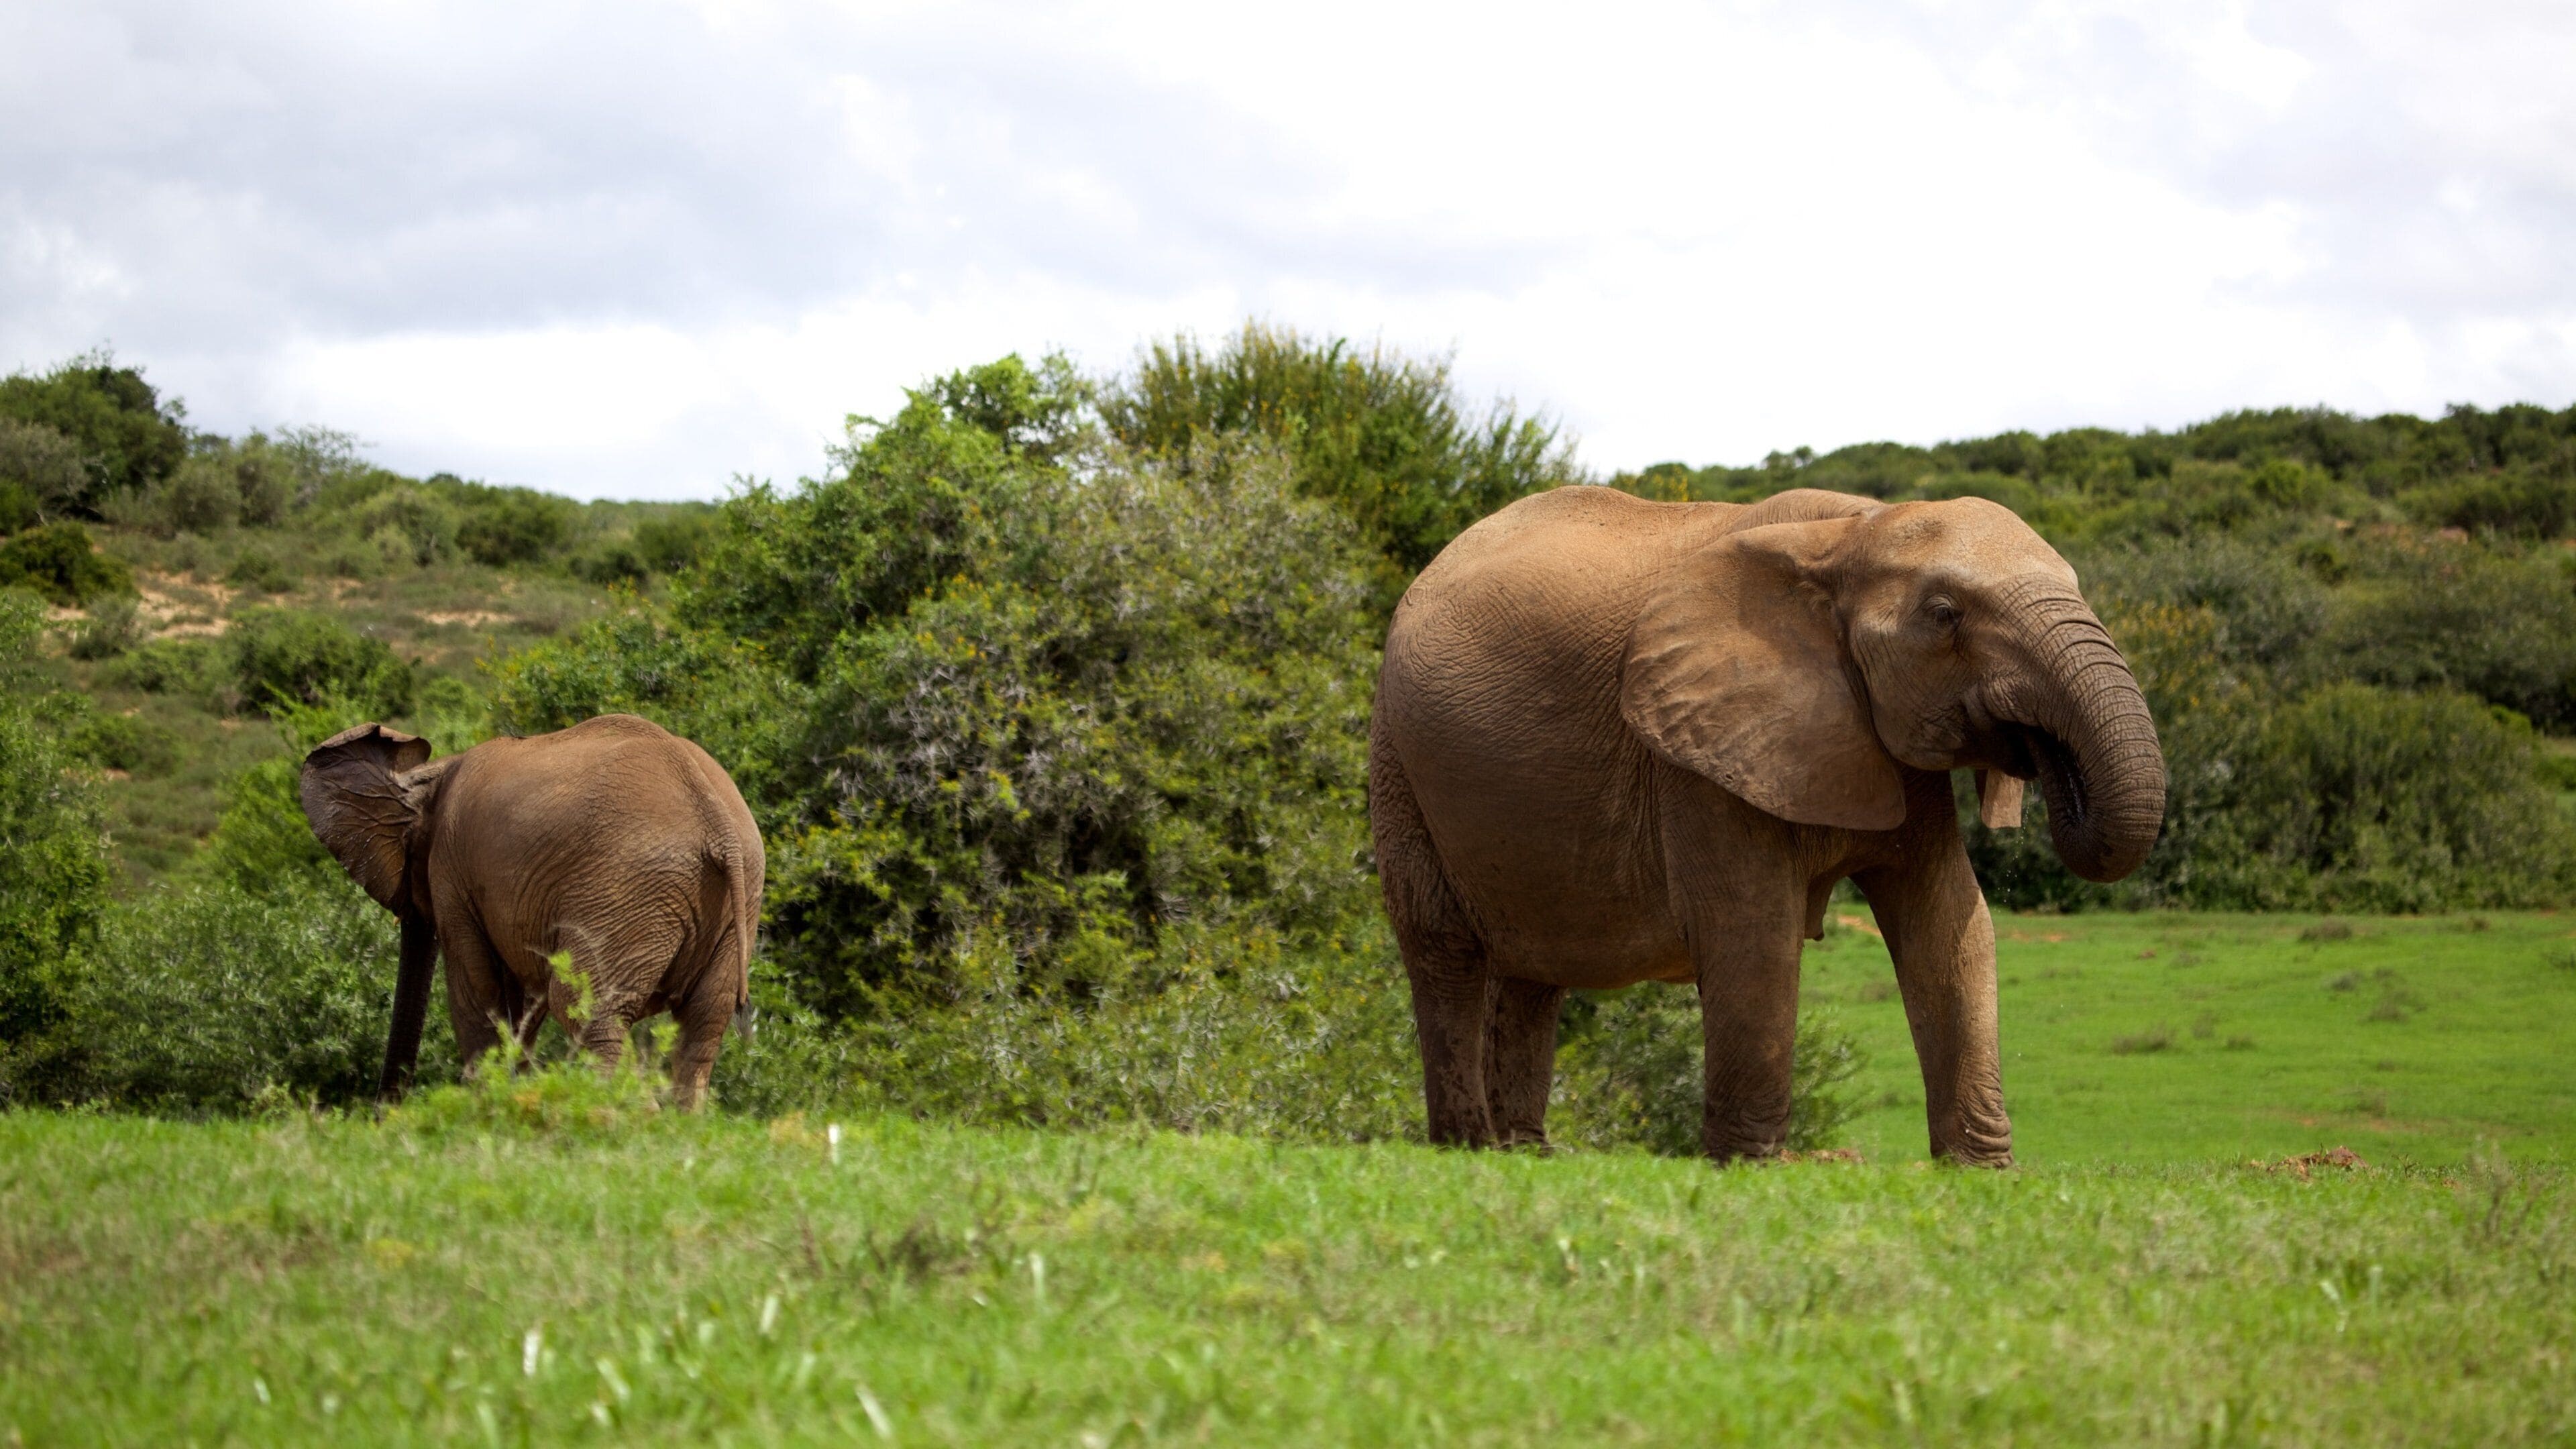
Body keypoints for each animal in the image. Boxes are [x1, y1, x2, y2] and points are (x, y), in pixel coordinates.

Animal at [300, 712, 764, 1107]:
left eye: (410, 854)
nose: (383, 1115)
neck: (434, 774)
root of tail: (717, 822)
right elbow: (520, 1004)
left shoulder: (452, 873)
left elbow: (477, 992)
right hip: (734, 900)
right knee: (702, 1028)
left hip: (631, 891)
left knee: (588, 1012)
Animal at [1369, 486, 2164, 1165]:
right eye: (1945, 615)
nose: (2039, 746)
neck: (1849, 534)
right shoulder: (1696, 756)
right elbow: (1754, 934)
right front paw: (1748, 1166)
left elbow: (1950, 926)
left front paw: (1982, 1173)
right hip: (1397, 758)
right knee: (1444, 949)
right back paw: (1470, 1148)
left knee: (1535, 969)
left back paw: (1528, 1155)